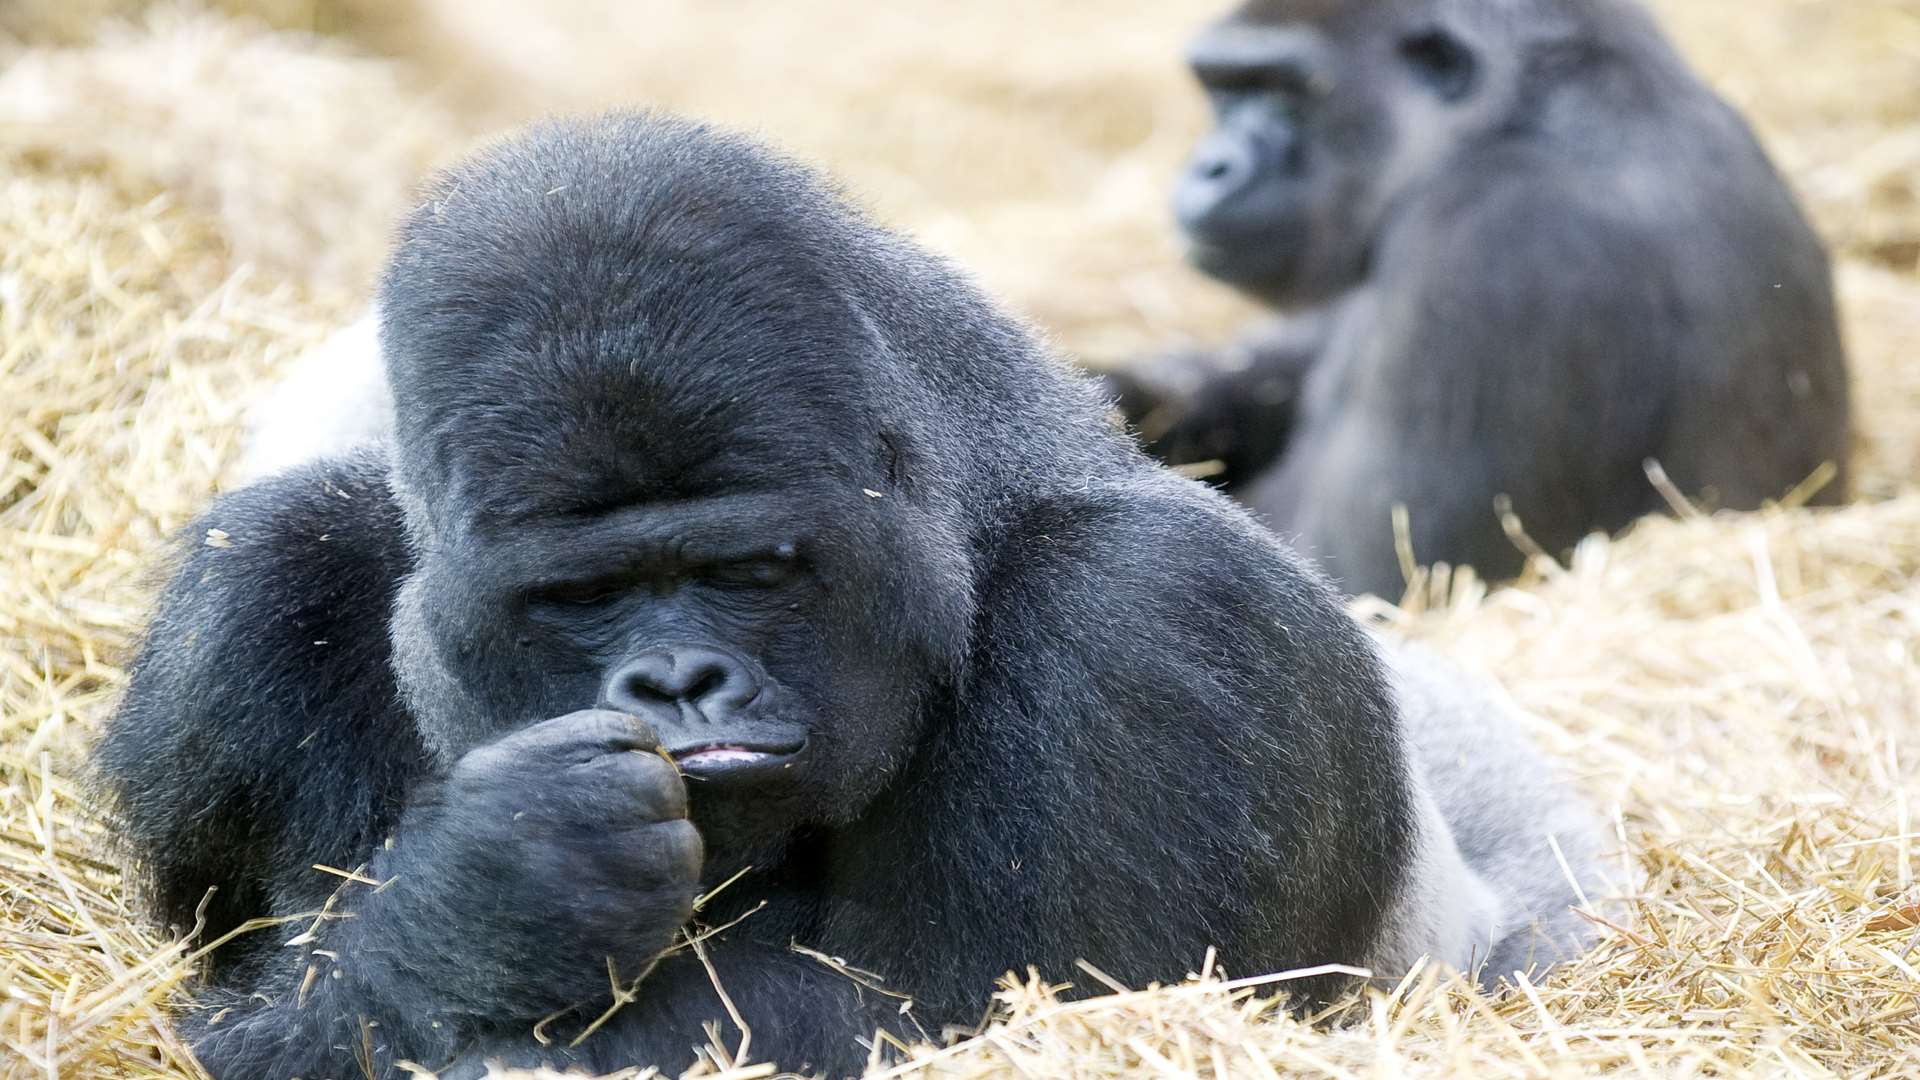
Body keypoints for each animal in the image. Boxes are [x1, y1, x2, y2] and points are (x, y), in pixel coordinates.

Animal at [97, 113, 1612, 1068]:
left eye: (751, 570)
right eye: (581, 595)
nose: (681, 682)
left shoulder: (1156, 620)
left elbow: (992, 1027)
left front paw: (503, 892)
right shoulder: (251, 606)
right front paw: (480, 904)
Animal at [1105, 0, 1850, 595]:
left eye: (1286, 88)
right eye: (1224, 88)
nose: (1211, 166)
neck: (1533, 107)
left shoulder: (1492, 241)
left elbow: (1368, 574)